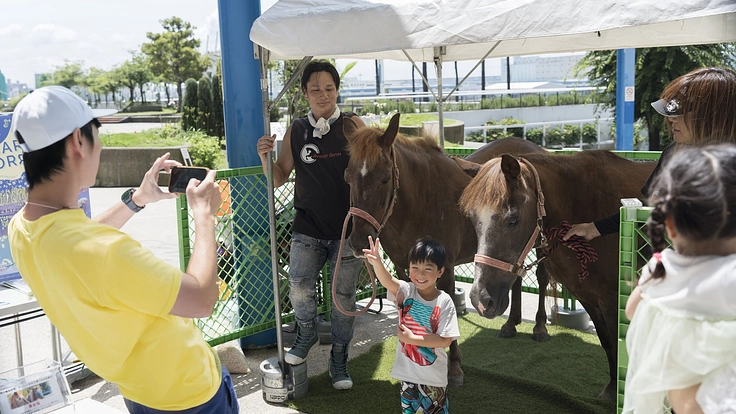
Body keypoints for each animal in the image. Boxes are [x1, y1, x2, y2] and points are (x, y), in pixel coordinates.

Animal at [344, 111, 548, 386]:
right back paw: (510, 324)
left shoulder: (446, 267)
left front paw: (453, 367)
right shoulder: (401, 268)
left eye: (385, 178)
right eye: (347, 177)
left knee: (541, 276)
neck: (419, 202)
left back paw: (539, 326)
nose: (358, 241)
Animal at [454, 151, 656, 398]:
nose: (481, 300)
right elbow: (607, 342)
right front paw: (611, 389)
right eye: (473, 219)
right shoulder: (589, 298)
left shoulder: (612, 300)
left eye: (513, 220)